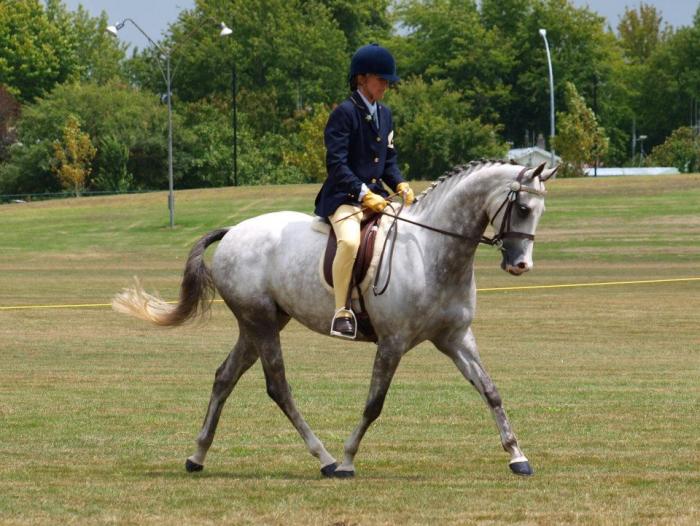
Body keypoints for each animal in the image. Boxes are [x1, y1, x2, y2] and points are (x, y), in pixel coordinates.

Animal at [113, 159, 556, 478]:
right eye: (521, 207)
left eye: (540, 210)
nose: (520, 265)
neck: (430, 251)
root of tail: (235, 231)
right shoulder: (393, 343)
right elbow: (374, 404)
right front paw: (347, 460)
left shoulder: (456, 338)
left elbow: (490, 390)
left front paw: (517, 456)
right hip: (260, 323)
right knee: (278, 388)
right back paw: (324, 458)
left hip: (259, 325)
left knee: (225, 376)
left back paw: (197, 455)